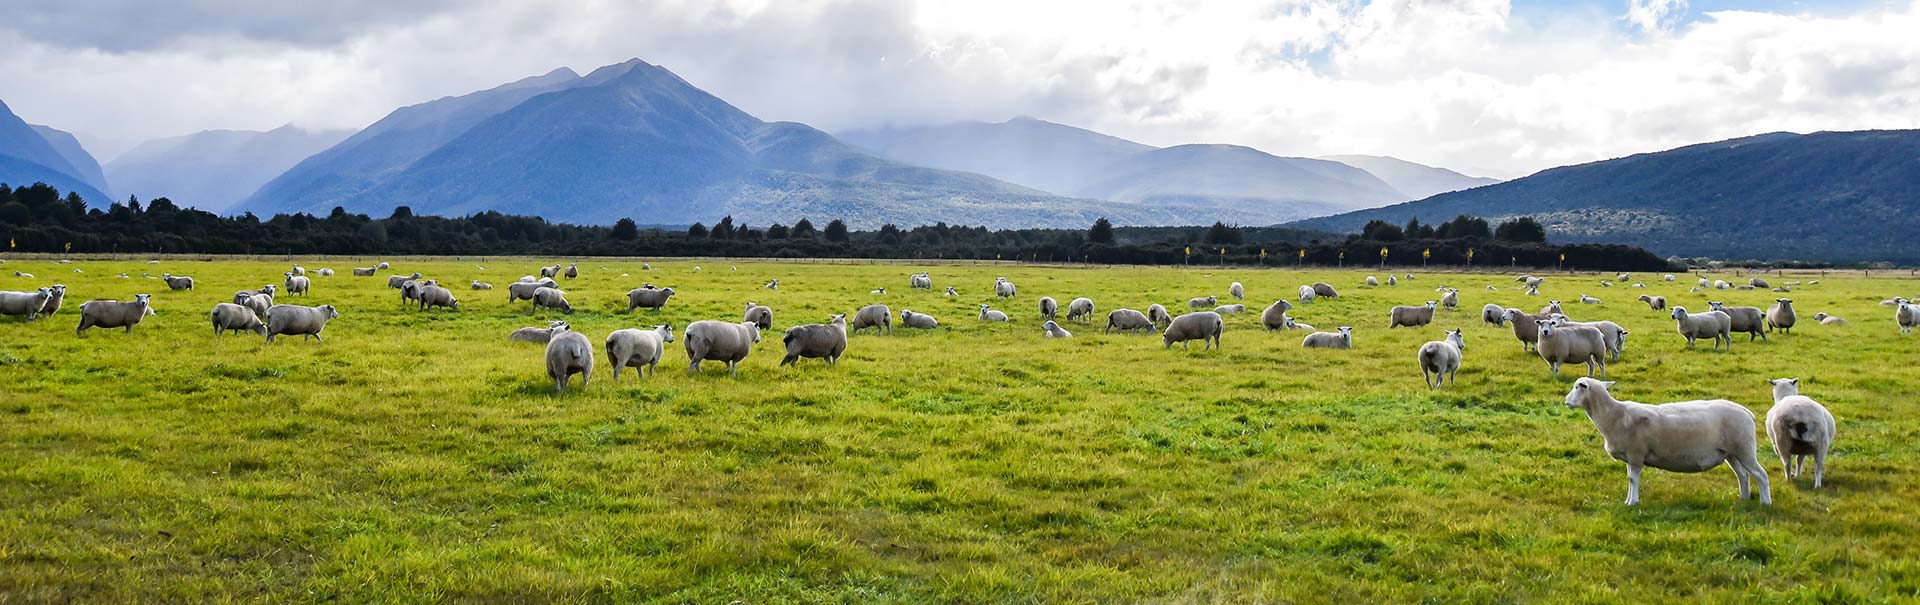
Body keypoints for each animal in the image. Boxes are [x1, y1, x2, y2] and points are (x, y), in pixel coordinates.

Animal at [1559, 380, 1766, 507]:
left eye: (1577, 387)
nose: (1566, 401)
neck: (1614, 415)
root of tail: (1747, 412)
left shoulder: (1636, 454)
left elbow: (1633, 479)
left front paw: (1632, 503)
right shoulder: (1630, 457)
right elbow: (1629, 479)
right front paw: (1628, 500)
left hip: (1745, 448)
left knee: (1761, 475)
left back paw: (1765, 502)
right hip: (1731, 452)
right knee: (1743, 475)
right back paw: (1743, 499)